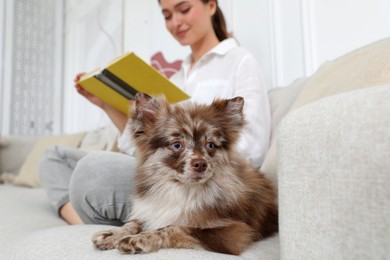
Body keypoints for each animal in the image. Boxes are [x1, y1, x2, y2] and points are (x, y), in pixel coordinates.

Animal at [91, 92, 278, 255]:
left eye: (210, 145)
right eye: (177, 145)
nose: (200, 164)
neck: (182, 189)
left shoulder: (233, 233)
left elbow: (174, 227)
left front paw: (140, 239)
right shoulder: (151, 211)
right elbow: (134, 223)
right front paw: (113, 233)